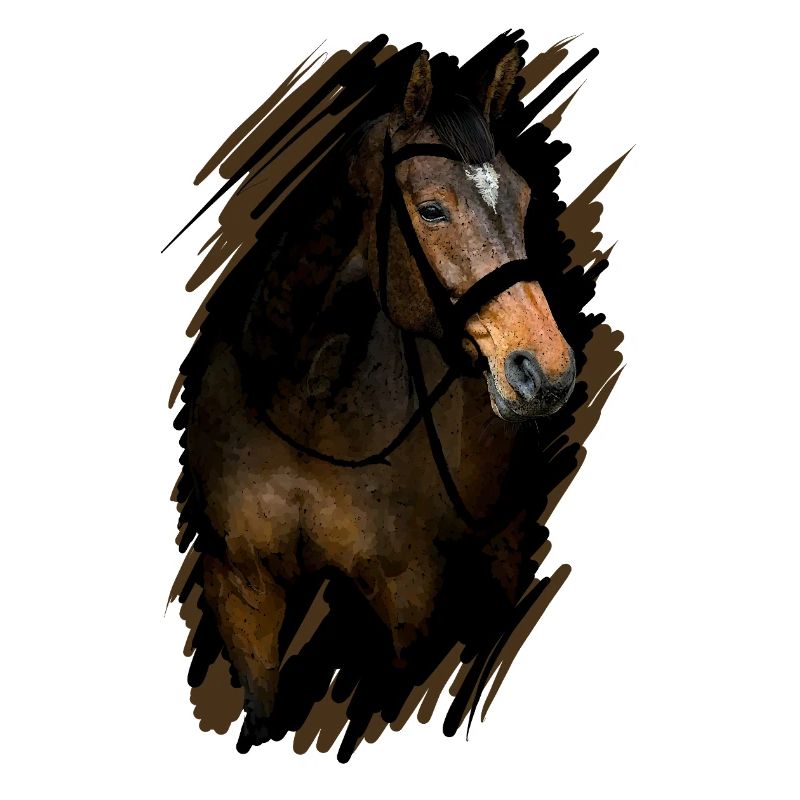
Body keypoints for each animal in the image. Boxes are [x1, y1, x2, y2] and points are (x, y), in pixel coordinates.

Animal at [171, 36, 615, 759]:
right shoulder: (240, 587)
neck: (304, 403)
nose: (545, 370)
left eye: (525, 201)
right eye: (432, 208)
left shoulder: (406, 600)